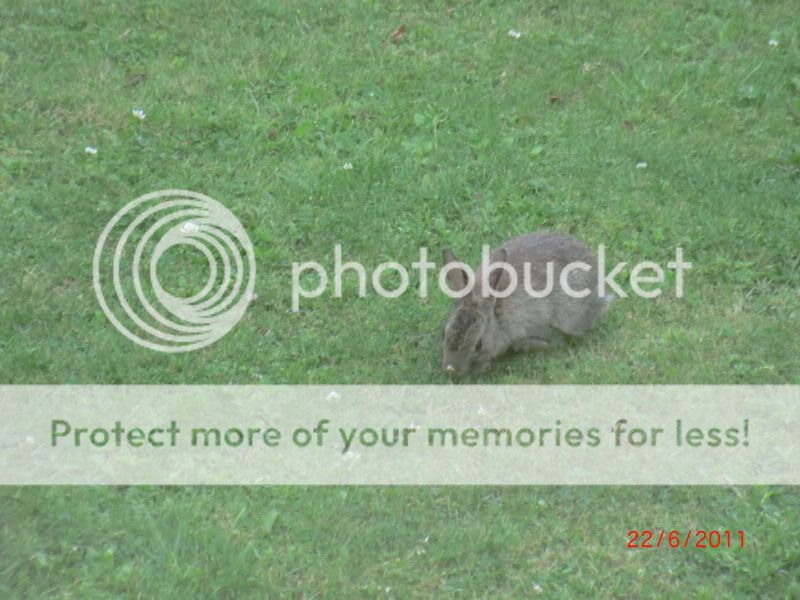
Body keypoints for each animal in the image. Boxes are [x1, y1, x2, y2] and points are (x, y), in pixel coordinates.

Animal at [444, 231, 612, 376]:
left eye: (478, 345)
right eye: (444, 333)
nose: (452, 369)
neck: (496, 317)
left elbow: (556, 342)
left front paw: (523, 346)